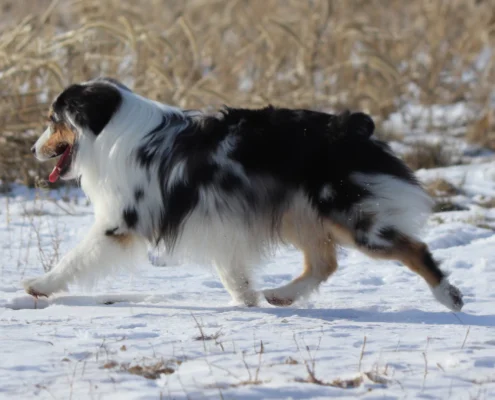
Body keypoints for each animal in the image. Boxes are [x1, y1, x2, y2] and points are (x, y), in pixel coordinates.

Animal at [23, 76, 464, 310]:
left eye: (53, 121)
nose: (31, 149)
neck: (110, 130)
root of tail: (351, 128)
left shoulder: (120, 222)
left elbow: (76, 258)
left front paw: (39, 285)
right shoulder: (216, 216)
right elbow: (230, 267)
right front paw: (246, 297)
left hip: (349, 216)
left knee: (414, 249)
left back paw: (448, 296)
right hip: (300, 214)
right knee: (324, 264)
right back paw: (281, 295)